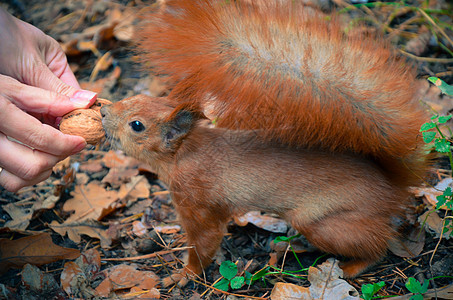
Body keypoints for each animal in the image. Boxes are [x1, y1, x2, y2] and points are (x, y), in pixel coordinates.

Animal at [100, 0, 428, 284]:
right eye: (133, 98)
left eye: (137, 125)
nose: (103, 112)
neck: (184, 154)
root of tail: (392, 186)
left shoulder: (198, 200)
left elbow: (204, 242)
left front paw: (186, 274)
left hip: (324, 222)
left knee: (377, 245)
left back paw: (352, 266)